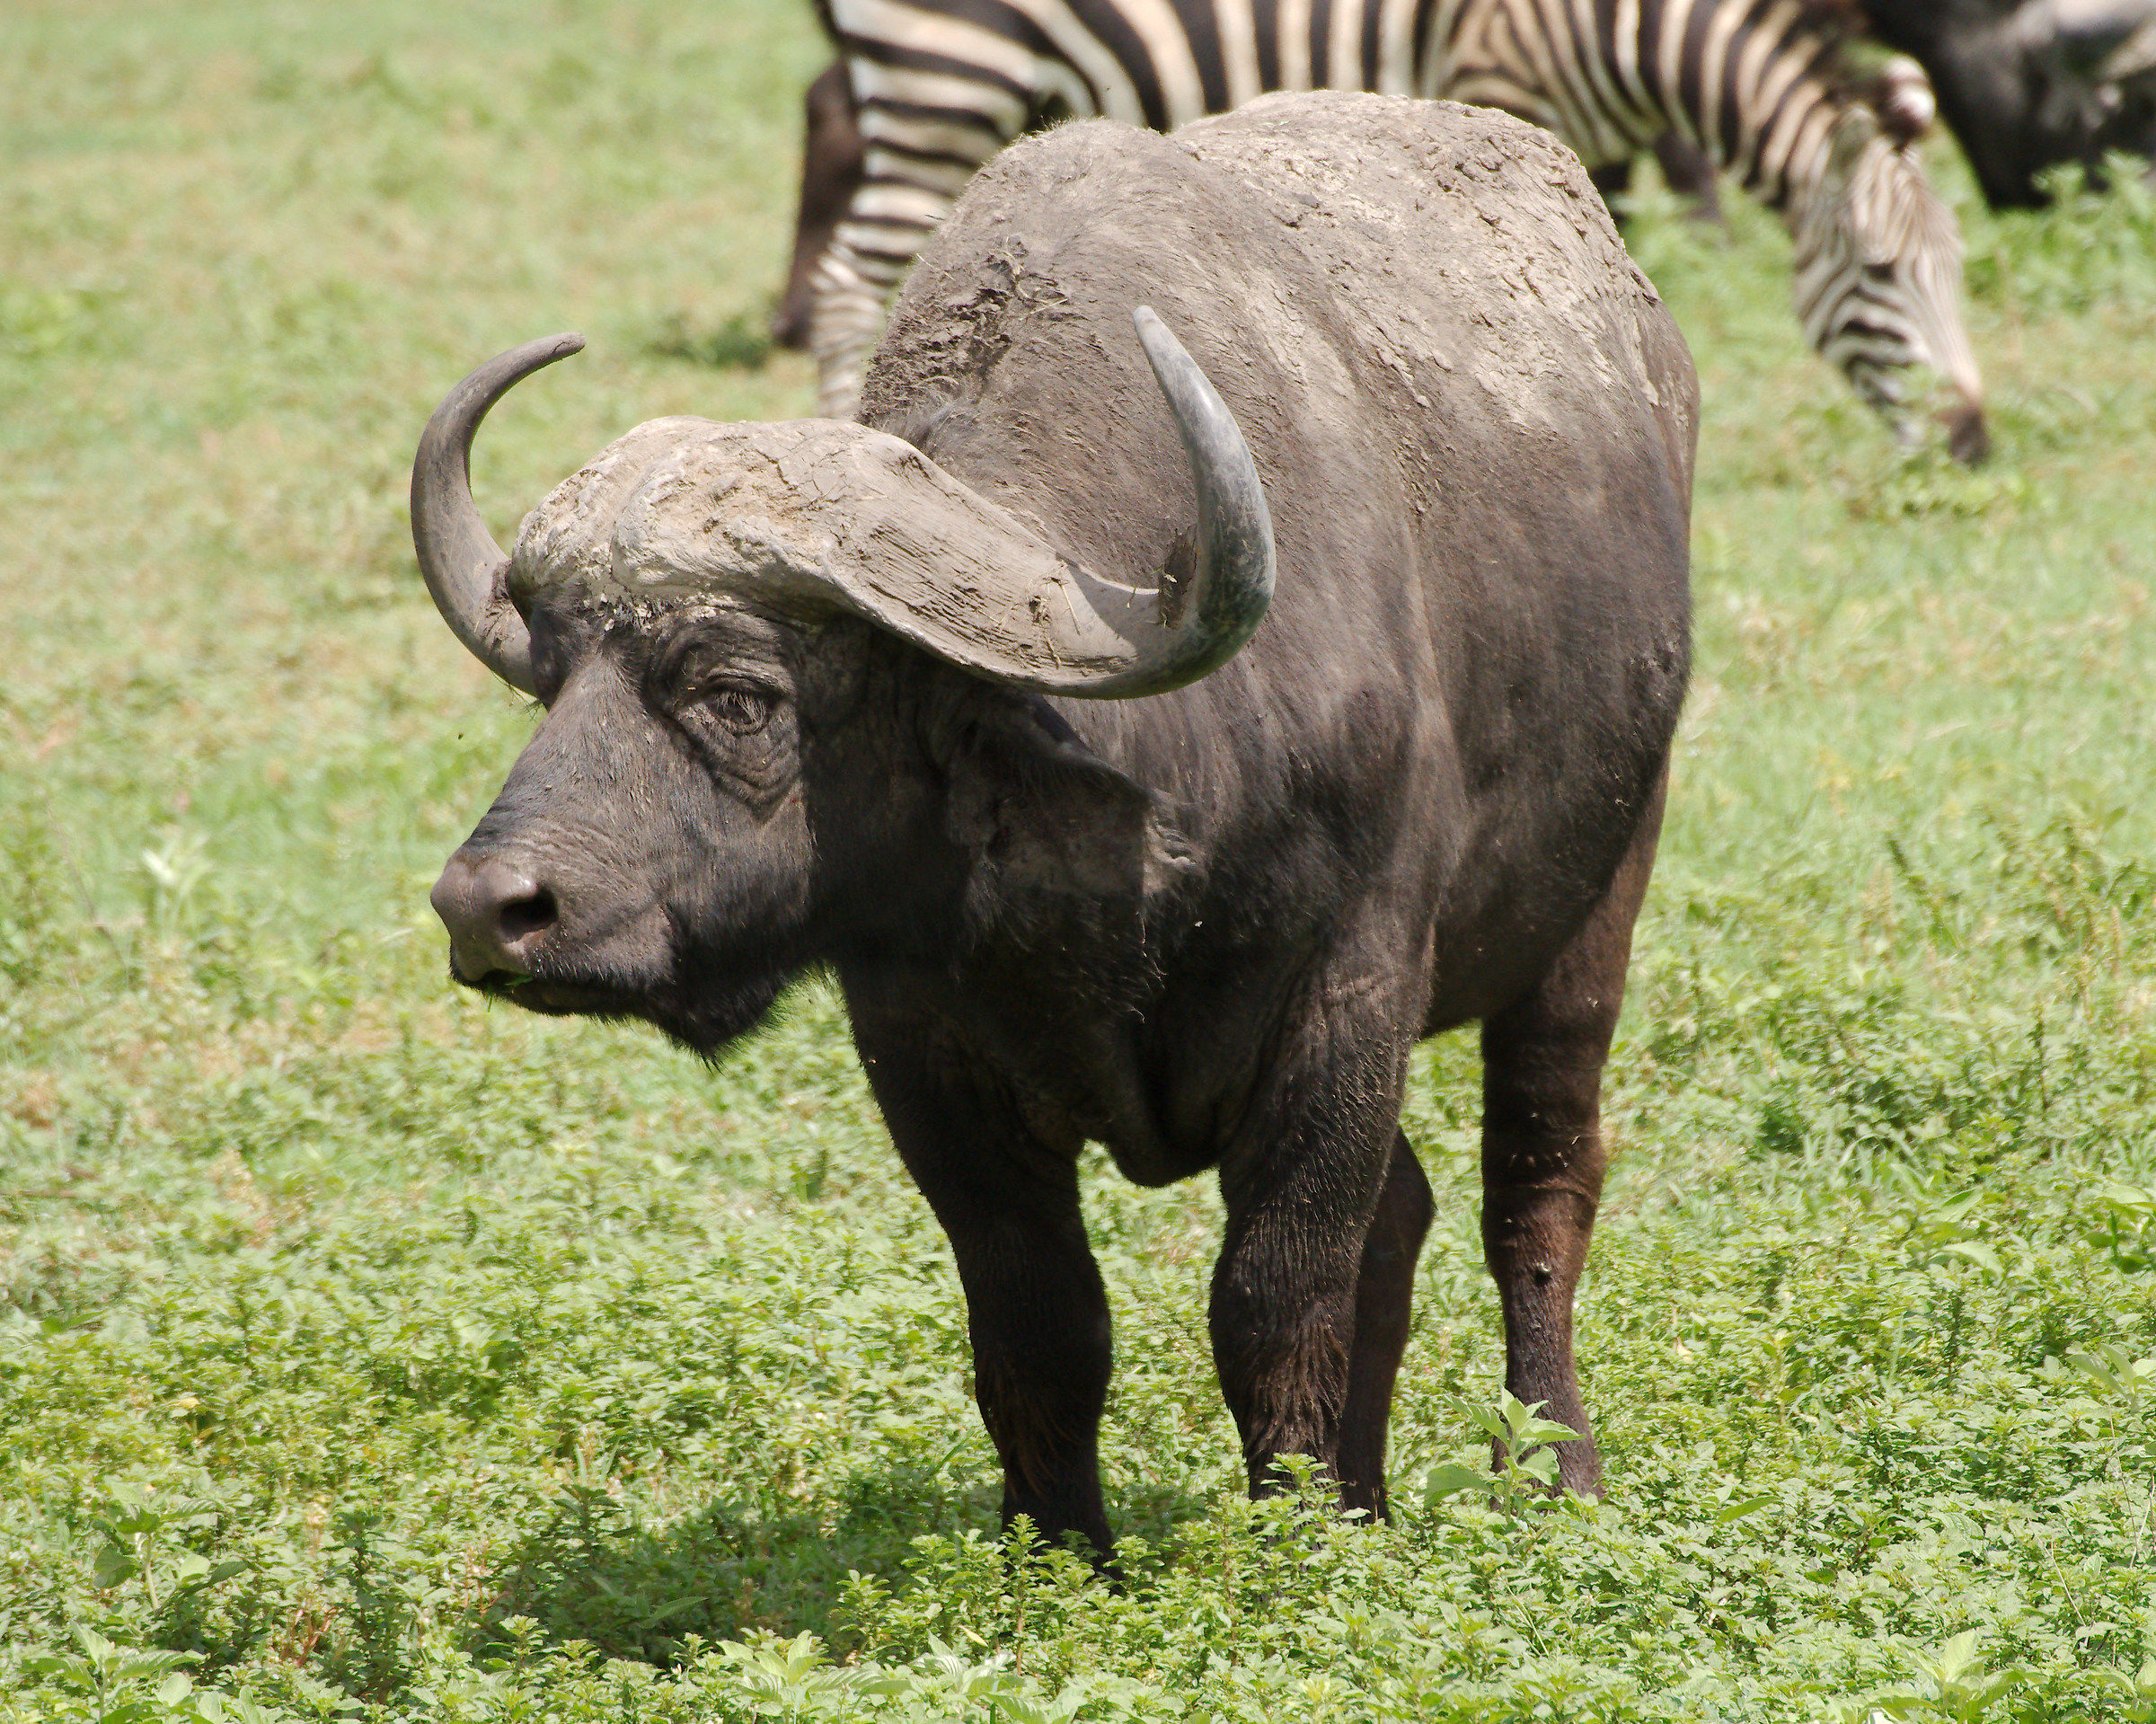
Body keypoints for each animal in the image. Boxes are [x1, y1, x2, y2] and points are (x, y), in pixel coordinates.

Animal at [416, 93, 1693, 1552]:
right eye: (552, 681)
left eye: (740, 693)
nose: (490, 908)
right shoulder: (919, 1048)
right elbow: (1040, 1323)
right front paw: (1069, 1553)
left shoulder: (1349, 993)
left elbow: (1276, 1296)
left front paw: (1293, 1544)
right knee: (1411, 1212)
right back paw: (1369, 1499)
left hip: (1599, 902)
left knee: (1535, 1188)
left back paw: (1554, 1471)